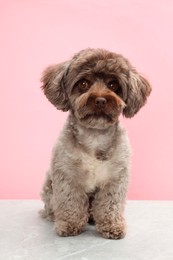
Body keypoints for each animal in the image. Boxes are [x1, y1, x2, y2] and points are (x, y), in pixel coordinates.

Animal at [39, 47, 151, 239]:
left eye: (113, 85)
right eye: (83, 83)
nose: (100, 100)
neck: (94, 136)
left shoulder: (115, 179)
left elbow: (110, 204)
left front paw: (112, 226)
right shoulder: (67, 176)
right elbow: (70, 201)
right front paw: (70, 224)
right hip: (48, 186)